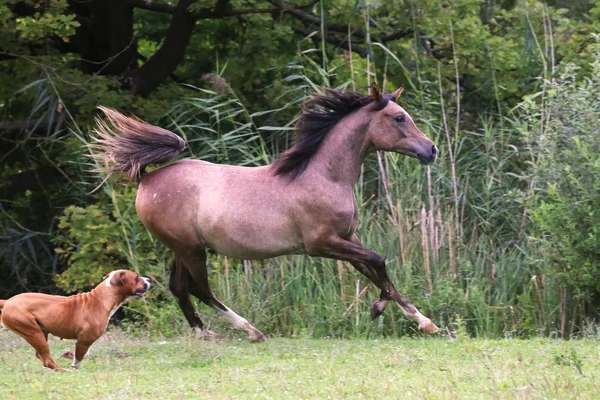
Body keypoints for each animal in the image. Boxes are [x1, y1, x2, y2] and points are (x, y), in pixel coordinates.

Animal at [0, 268, 149, 372]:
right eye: (136, 277)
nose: (148, 279)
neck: (103, 298)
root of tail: (8, 301)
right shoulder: (84, 340)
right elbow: (79, 357)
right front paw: (74, 367)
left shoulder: (83, 340)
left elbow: (83, 355)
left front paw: (68, 355)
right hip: (33, 332)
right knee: (47, 359)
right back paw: (64, 370)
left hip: (40, 333)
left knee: (41, 356)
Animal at [95, 83, 440, 340]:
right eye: (399, 118)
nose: (432, 150)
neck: (322, 177)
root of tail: (147, 178)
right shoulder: (321, 244)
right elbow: (378, 261)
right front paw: (378, 308)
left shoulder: (347, 238)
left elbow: (376, 270)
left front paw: (424, 322)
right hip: (190, 248)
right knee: (199, 289)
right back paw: (250, 331)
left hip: (183, 248)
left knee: (179, 287)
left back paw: (205, 334)